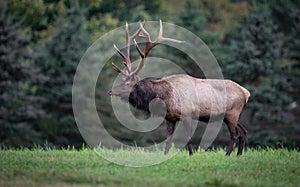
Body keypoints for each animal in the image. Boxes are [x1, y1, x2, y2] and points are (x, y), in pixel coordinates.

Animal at [108, 20, 251, 156]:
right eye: (123, 80)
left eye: (128, 84)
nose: (111, 91)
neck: (165, 98)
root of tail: (246, 93)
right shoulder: (170, 118)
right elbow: (168, 140)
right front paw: (165, 156)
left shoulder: (187, 113)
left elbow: (188, 138)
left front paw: (191, 155)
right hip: (231, 115)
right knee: (243, 132)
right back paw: (239, 155)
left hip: (232, 113)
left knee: (235, 135)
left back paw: (227, 155)